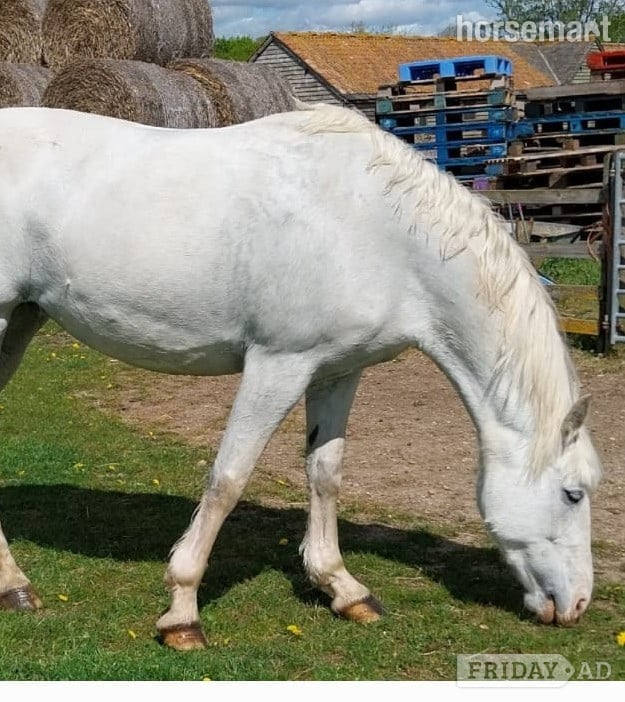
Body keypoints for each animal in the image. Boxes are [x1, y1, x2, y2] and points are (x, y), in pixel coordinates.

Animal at [0, 103, 603, 650]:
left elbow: (325, 472)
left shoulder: (337, 370)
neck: (377, 229)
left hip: (21, 321)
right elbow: (228, 479)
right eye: (572, 494)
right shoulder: (278, 364)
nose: (577, 605)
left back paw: (15, 588)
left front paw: (343, 588)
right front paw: (182, 612)